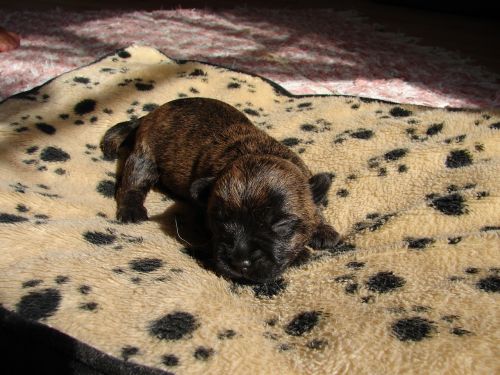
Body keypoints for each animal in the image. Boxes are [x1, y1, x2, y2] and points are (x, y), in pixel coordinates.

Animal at [101, 98, 340, 284]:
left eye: (281, 225)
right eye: (220, 221)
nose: (239, 262)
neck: (255, 150)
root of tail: (149, 114)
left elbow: (314, 202)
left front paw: (323, 229)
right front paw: (301, 254)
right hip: (144, 156)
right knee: (131, 184)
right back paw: (132, 210)